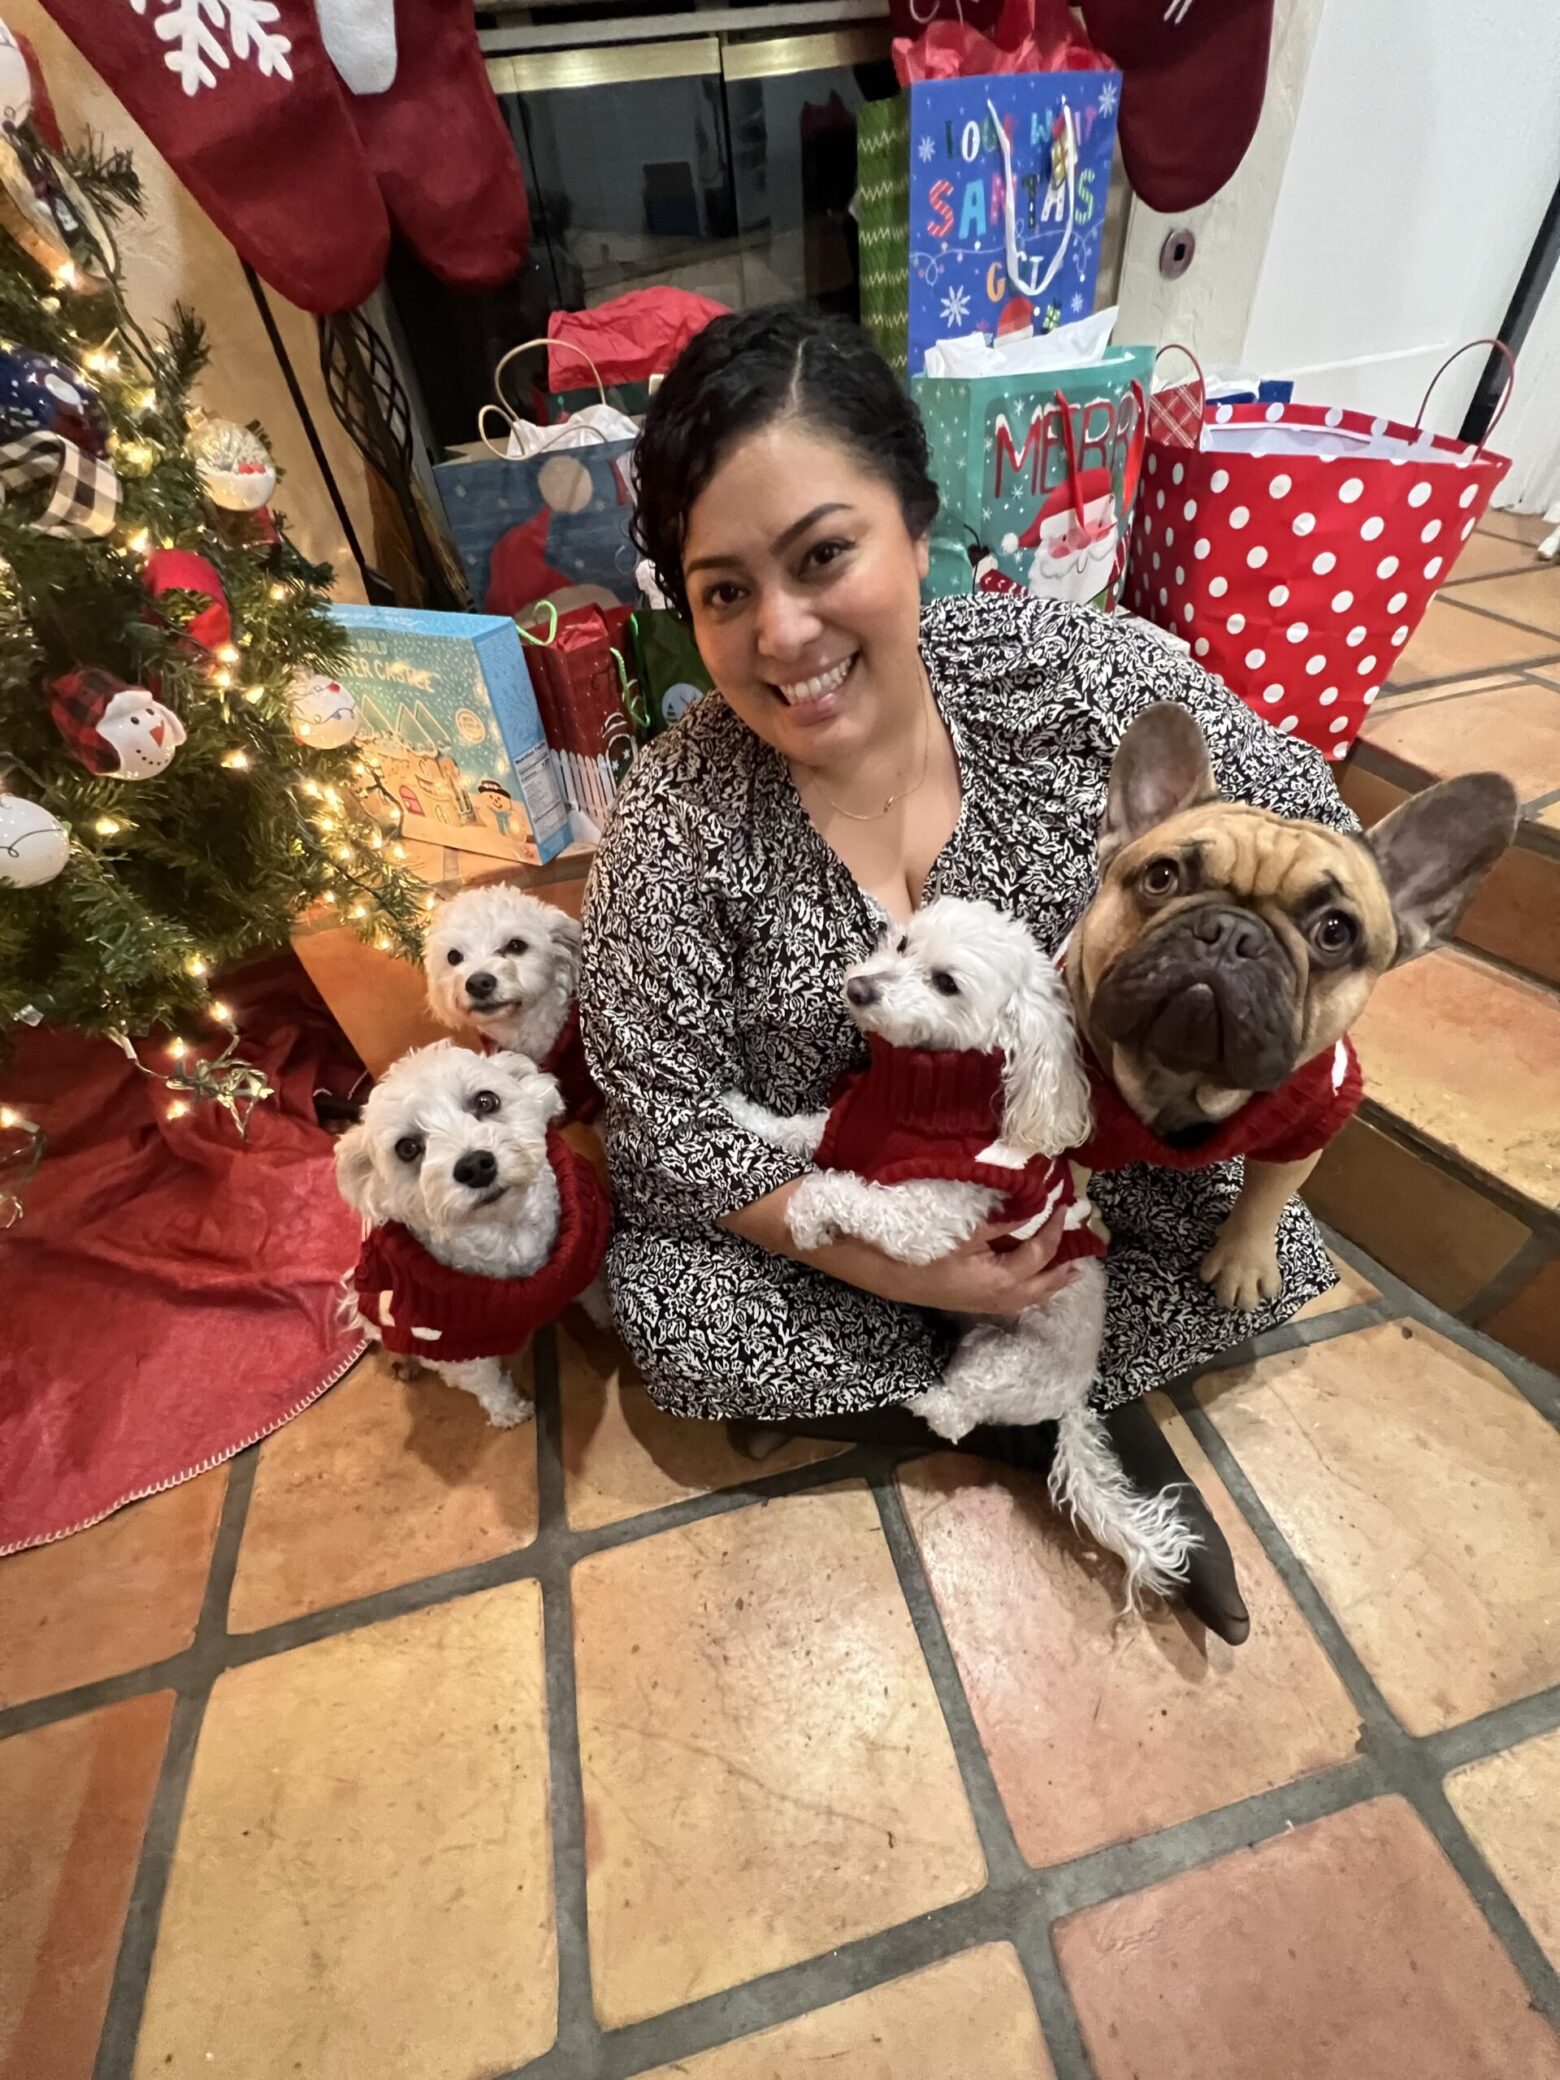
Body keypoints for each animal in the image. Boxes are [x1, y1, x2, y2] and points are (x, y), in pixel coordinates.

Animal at [336, 1040, 611, 1431]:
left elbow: (597, 1296)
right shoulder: (449, 1342)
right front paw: (509, 1411)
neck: (507, 1233)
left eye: (486, 1101)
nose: (475, 1165)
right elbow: (486, 1382)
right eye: (407, 1148)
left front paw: (610, 1325)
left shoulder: (581, 1258)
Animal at [732, 898, 1198, 1605]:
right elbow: (800, 1132)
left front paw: (807, 1217)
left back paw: (922, 1398)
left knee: (958, 1417)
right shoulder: (844, 1131)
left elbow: (842, 1190)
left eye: (947, 983)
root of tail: (1074, 1398)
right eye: (902, 943)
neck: (917, 1099)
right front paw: (738, 1112)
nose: (859, 988)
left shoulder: (927, 1214)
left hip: (1001, 1363)